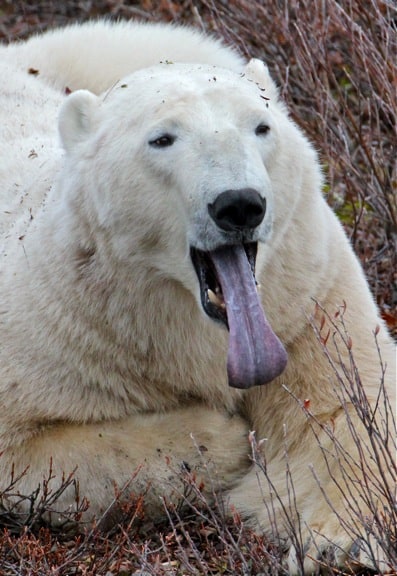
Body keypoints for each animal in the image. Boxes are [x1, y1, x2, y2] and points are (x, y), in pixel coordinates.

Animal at [0, 20, 392, 572]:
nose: (239, 204)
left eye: (260, 127)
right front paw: (223, 438)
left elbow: (350, 410)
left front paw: (345, 546)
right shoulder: (57, 328)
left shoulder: (304, 300)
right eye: (162, 138)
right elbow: (44, 453)